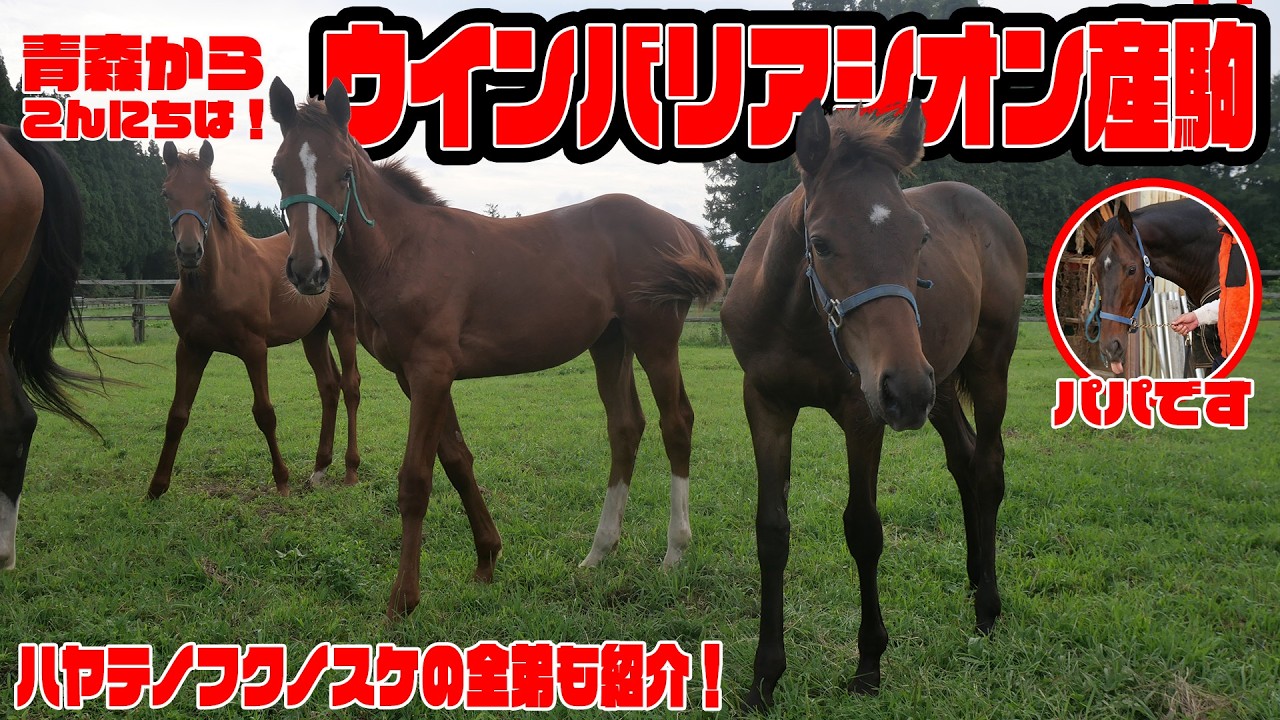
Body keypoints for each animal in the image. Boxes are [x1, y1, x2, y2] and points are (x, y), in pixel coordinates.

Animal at [146, 140, 362, 499]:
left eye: (208, 195)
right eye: (166, 194)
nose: (189, 251)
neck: (215, 284)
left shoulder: (253, 348)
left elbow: (264, 413)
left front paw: (282, 480)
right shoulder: (190, 348)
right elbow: (177, 415)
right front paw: (157, 487)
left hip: (343, 322)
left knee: (351, 385)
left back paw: (350, 469)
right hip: (313, 333)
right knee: (328, 386)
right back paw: (319, 469)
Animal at [267, 78, 724, 618]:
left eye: (343, 171)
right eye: (278, 170)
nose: (308, 270)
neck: (404, 251)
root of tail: (679, 226)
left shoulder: (431, 372)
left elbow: (416, 479)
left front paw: (403, 599)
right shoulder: (416, 377)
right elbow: (457, 462)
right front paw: (486, 559)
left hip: (655, 340)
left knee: (677, 422)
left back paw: (674, 552)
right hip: (610, 345)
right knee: (626, 428)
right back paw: (598, 553)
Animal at [720, 99, 1027, 710]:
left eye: (919, 238)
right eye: (820, 242)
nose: (903, 389)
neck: (800, 319)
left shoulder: (864, 415)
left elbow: (863, 530)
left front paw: (868, 664)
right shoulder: (765, 405)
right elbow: (771, 531)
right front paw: (764, 678)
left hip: (979, 367)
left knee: (987, 468)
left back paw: (988, 607)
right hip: (938, 384)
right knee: (964, 460)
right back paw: (975, 576)